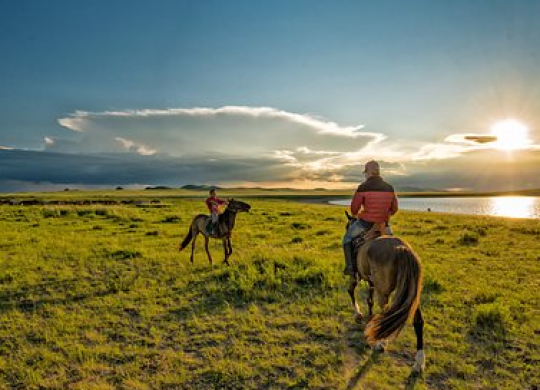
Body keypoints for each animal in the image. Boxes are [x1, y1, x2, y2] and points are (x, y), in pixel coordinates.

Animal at [346, 212, 426, 374]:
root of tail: (401, 248)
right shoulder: (371, 281)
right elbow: (369, 300)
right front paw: (369, 318)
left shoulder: (357, 275)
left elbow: (351, 291)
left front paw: (358, 314)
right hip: (413, 295)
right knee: (418, 321)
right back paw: (419, 363)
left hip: (383, 292)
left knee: (386, 315)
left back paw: (380, 343)